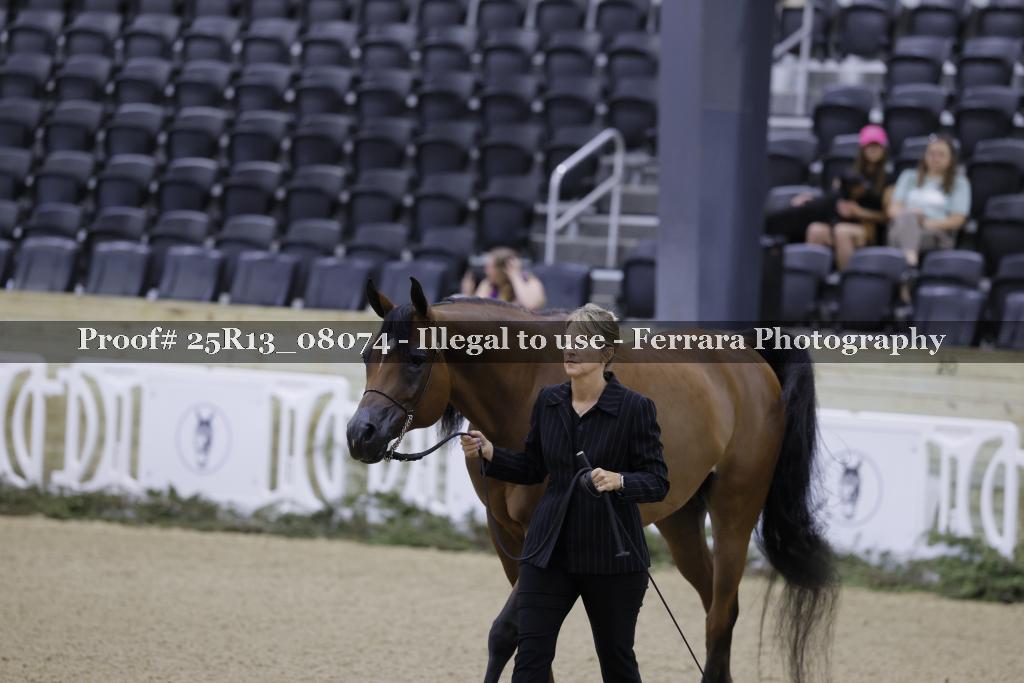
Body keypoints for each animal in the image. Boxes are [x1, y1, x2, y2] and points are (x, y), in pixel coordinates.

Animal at [346, 278, 837, 683]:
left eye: (416, 359)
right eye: (369, 356)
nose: (359, 434)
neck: (522, 396)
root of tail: (753, 361)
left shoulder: (543, 535)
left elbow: (505, 633)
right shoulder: (507, 535)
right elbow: (528, 633)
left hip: (735, 512)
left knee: (720, 615)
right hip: (680, 521)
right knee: (718, 606)